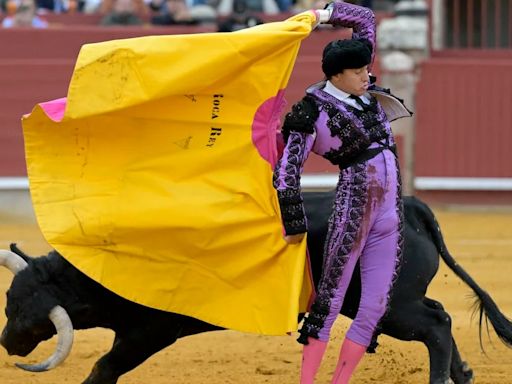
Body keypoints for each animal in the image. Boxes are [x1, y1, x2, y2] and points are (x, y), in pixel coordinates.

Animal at [0, 192, 510, 384]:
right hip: (395, 301)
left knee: (436, 324)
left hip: (388, 305)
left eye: (30, 314)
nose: (6, 342)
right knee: (440, 313)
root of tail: (409, 205)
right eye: (9, 302)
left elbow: (106, 366)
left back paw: (442, 380)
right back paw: (464, 375)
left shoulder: (149, 331)